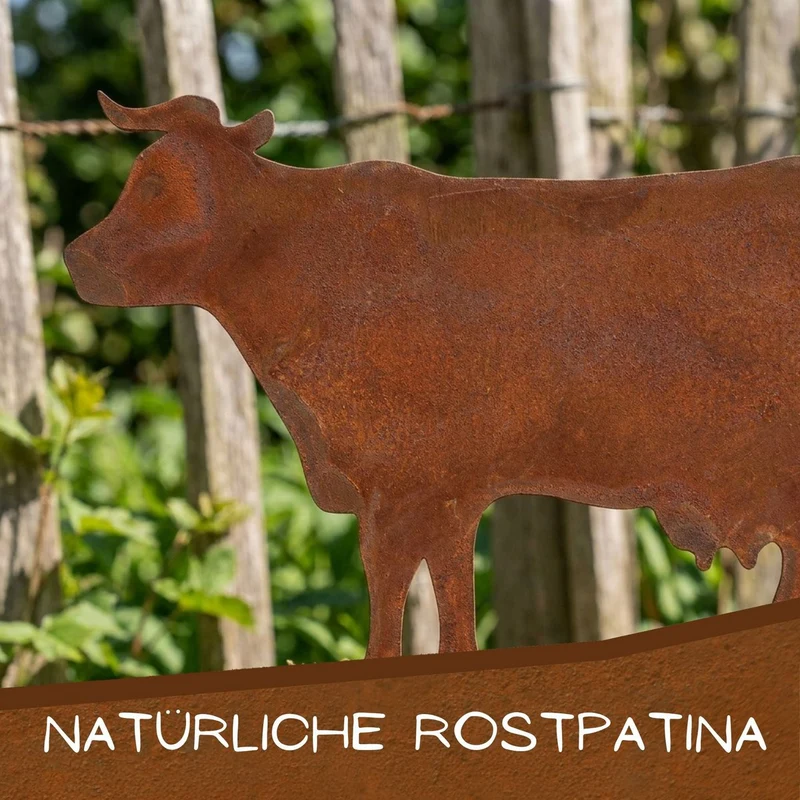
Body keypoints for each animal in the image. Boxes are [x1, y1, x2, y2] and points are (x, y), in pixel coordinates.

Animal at [65, 93, 800, 658]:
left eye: (156, 184)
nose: (76, 258)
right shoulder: (442, 489)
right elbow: (446, 590)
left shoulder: (404, 481)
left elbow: (394, 583)